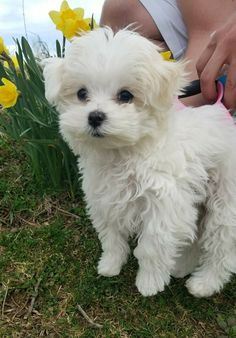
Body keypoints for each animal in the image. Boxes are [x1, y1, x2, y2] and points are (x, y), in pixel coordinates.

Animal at [43, 27, 236, 298]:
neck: (122, 153)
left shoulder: (164, 206)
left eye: (126, 95)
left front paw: (149, 282)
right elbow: (111, 236)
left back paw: (204, 283)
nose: (95, 116)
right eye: (82, 94)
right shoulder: (104, 199)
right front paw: (110, 264)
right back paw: (182, 267)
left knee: (221, 245)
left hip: (225, 200)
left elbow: (151, 246)